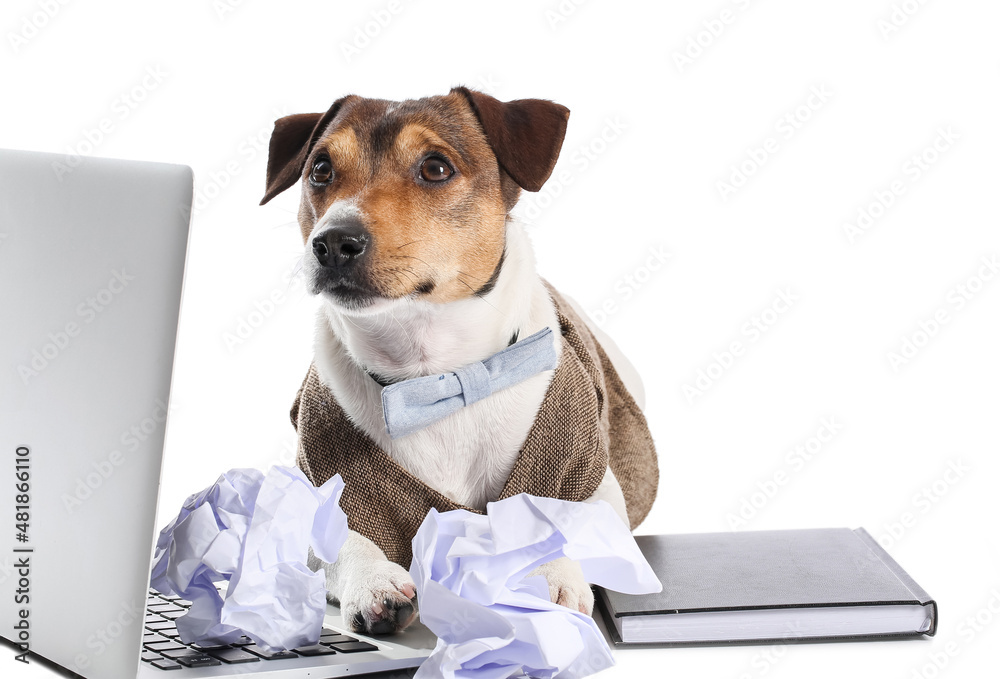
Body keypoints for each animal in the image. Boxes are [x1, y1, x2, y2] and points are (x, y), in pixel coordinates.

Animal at [260, 87, 656, 636]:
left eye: (435, 168)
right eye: (320, 169)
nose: (334, 241)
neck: (435, 377)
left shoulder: (592, 483)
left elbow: (565, 521)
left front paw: (549, 573)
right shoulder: (318, 485)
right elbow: (340, 541)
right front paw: (373, 582)